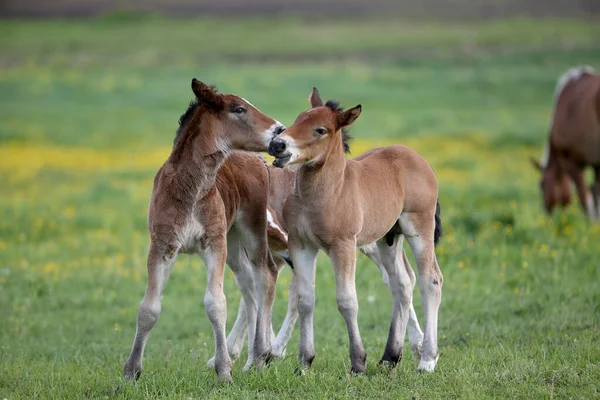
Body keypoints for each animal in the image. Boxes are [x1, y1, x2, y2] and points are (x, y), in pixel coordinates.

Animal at [123, 79, 284, 382]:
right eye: (239, 109)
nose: (280, 132)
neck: (193, 188)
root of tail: (256, 158)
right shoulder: (162, 245)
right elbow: (148, 307)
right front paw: (130, 372)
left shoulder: (214, 243)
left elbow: (215, 303)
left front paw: (224, 372)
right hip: (233, 241)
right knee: (248, 285)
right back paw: (254, 357)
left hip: (251, 229)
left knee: (265, 274)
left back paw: (261, 355)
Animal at [270, 89, 442, 374]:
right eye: (297, 119)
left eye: (320, 130)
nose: (277, 145)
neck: (326, 193)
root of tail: (415, 156)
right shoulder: (301, 245)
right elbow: (305, 300)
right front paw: (304, 363)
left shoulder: (343, 245)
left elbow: (347, 301)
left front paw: (358, 363)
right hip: (388, 237)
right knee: (402, 283)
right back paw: (390, 357)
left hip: (419, 227)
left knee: (430, 281)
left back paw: (427, 360)